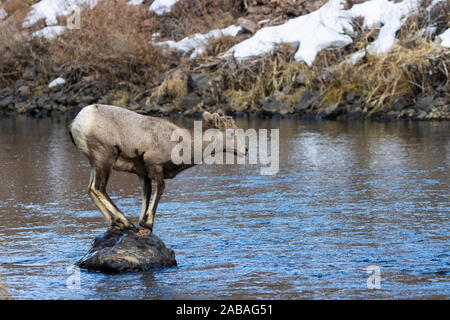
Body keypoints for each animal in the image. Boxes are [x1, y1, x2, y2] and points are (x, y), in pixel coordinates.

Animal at [69, 105, 248, 232]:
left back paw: (116, 223)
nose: (245, 150)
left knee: (90, 189)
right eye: (231, 134)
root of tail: (77, 122)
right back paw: (125, 223)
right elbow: (160, 189)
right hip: (105, 159)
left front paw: (142, 222)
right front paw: (148, 223)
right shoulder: (155, 168)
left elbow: (147, 193)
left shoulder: (143, 175)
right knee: (99, 188)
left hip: (94, 163)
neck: (179, 144)